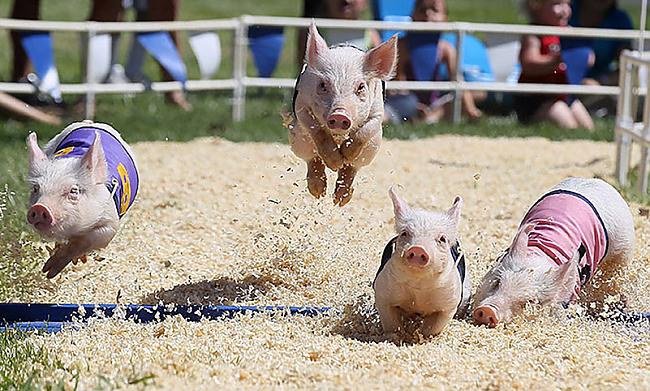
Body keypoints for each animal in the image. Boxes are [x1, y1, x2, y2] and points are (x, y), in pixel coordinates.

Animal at [288, 23, 398, 208]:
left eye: (360, 87)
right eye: (323, 85)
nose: (340, 114)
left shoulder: (378, 112)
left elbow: (365, 130)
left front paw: (345, 156)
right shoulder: (301, 105)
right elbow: (316, 129)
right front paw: (335, 163)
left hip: (372, 148)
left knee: (352, 168)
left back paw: (340, 199)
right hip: (298, 139)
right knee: (312, 158)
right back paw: (319, 192)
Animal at [370, 188, 470, 340]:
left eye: (442, 239)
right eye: (405, 233)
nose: (418, 249)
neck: (419, 286)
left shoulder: (449, 301)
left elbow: (433, 327)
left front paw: (422, 338)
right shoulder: (383, 292)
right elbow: (391, 322)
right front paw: (395, 338)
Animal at [470, 178, 632, 328]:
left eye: (531, 302)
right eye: (497, 282)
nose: (488, 310)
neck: (543, 254)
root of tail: (602, 183)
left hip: (624, 249)